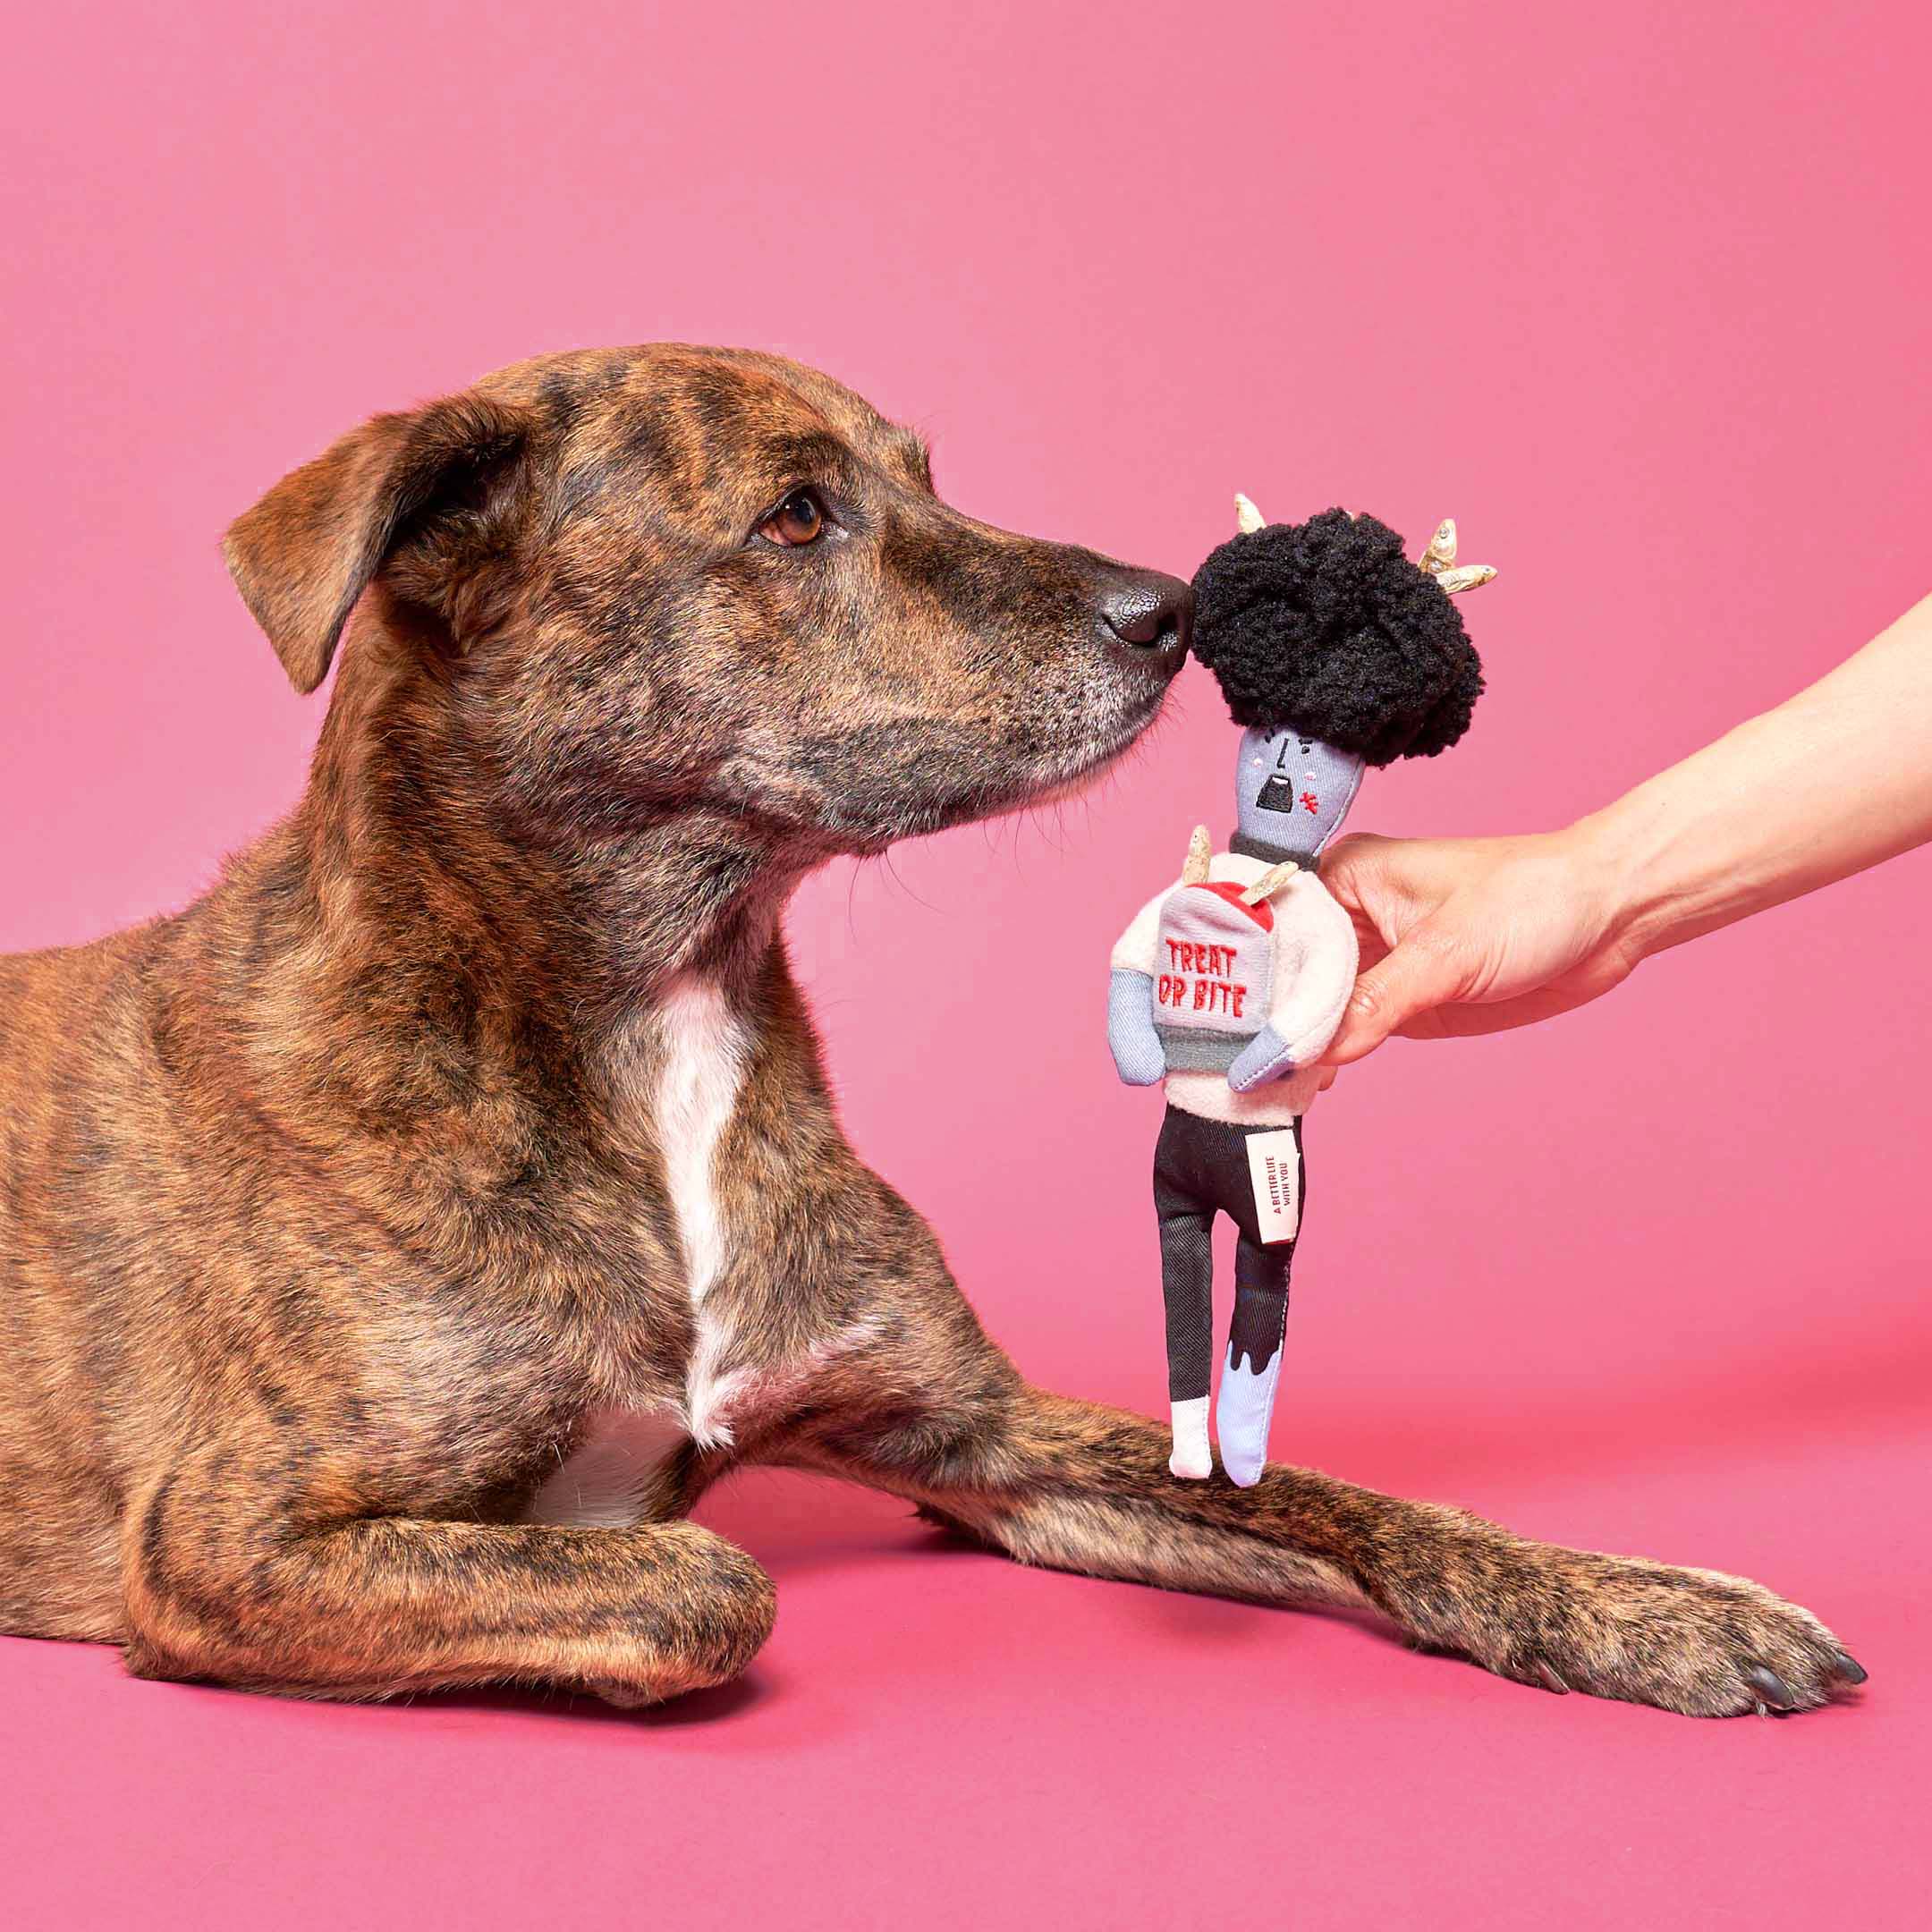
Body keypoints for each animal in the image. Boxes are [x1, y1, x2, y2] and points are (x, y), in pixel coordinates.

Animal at [4, 340, 1869, 1716]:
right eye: (794, 516)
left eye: (925, 471)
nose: (1174, 609)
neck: (661, 1019)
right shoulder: (231, 1536)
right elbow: (703, 1585)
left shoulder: (979, 1434)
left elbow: (1340, 1496)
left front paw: (1648, 1606)